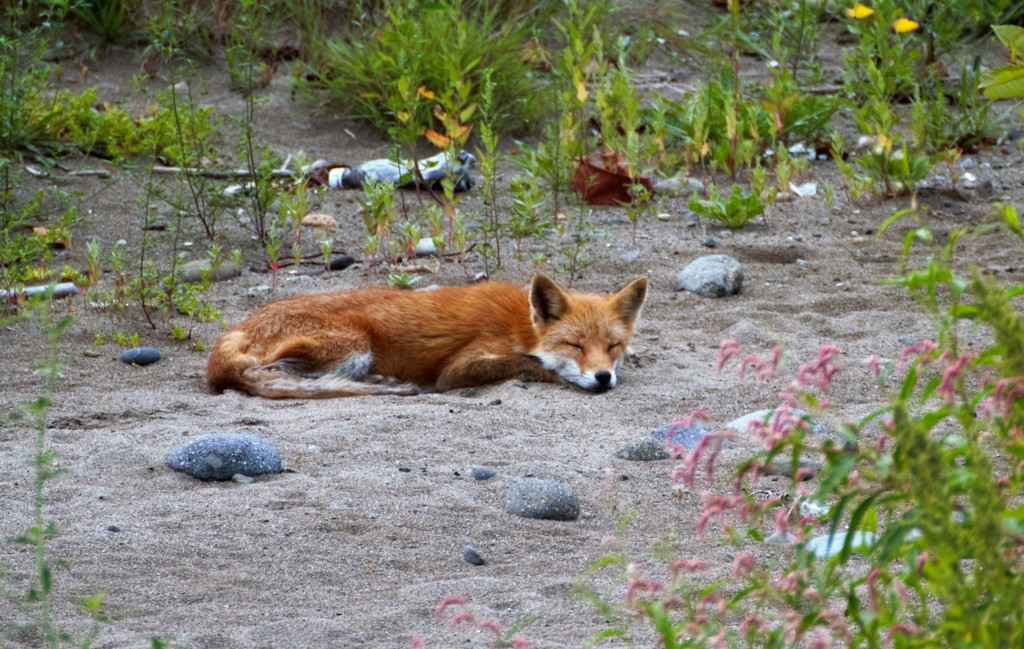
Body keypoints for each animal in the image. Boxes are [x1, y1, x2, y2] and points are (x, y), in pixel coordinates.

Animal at [206, 272, 647, 397]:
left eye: (613, 346)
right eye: (575, 345)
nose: (603, 377)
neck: (521, 325)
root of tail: (238, 327)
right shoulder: (458, 368)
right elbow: (525, 362)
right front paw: (555, 373)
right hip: (354, 344)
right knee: (266, 375)